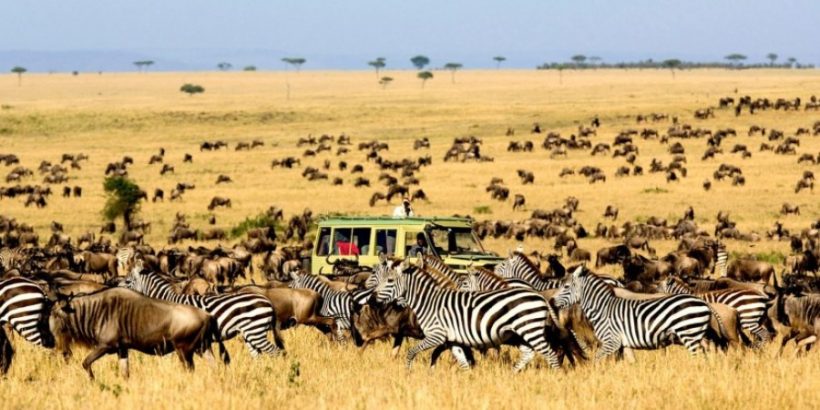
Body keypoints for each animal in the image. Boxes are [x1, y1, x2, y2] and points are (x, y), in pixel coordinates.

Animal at [123, 264, 284, 358]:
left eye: (127, 281)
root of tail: (267, 301)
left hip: (256, 331)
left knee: (275, 352)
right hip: (249, 333)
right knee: (258, 356)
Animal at [374, 262, 560, 372]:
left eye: (389, 281)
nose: (373, 298)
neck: (429, 302)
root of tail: (539, 295)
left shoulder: (436, 335)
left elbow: (411, 352)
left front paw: (408, 373)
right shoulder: (452, 340)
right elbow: (462, 361)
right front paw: (467, 379)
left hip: (530, 329)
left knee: (550, 354)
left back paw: (555, 376)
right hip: (520, 333)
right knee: (528, 354)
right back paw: (513, 375)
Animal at [556, 264, 716, 360]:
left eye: (566, 286)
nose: (552, 300)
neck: (603, 309)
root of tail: (704, 303)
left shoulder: (611, 341)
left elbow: (598, 360)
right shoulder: (623, 343)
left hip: (689, 334)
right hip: (697, 335)